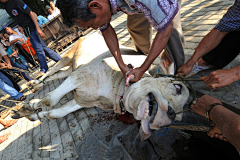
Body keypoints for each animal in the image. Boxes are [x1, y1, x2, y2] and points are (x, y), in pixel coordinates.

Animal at [17, 32, 189, 140]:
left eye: (179, 117)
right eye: (178, 87)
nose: (170, 115)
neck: (115, 93)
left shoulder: (84, 98)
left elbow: (56, 112)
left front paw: (33, 113)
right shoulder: (82, 73)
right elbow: (50, 99)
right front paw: (29, 107)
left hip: (71, 68)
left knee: (57, 75)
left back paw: (36, 88)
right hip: (67, 56)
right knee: (51, 70)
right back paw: (35, 83)